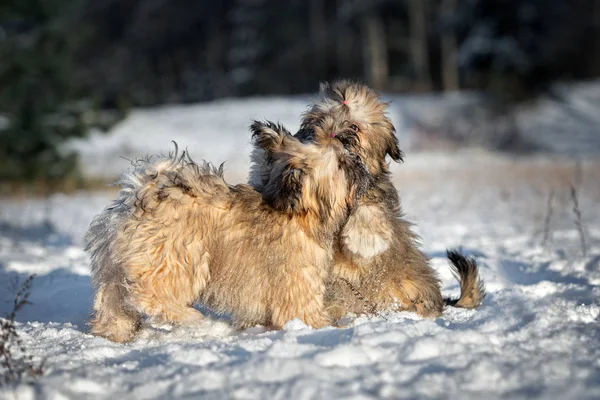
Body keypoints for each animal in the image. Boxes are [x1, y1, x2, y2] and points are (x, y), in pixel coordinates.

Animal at [84, 120, 370, 342]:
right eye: (342, 163)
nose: (357, 157)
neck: (300, 212)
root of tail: (140, 193)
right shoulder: (298, 283)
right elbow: (306, 313)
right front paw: (327, 326)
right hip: (179, 256)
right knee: (149, 293)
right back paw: (189, 317)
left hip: (112, 266)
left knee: (113, 299)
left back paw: (116, 331)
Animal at [250, 80, 488, 318]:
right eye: (320, 121)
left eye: (354, 127)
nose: (335, 136)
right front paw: (270, 144)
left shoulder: (372, 195)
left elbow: (369, 209)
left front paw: (365, 239)